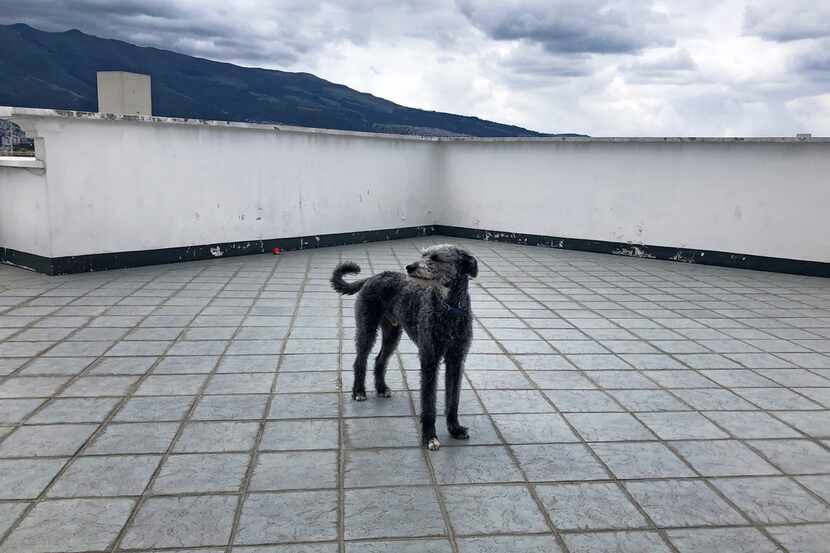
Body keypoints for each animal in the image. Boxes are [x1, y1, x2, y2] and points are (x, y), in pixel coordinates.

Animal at [330, 244, 478, 450]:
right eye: (423, 254)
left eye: (436, 258)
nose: (410, 267)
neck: (449, 309)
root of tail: (372, 277)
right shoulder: (429, 360)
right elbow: (429, 403)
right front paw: (429, 437)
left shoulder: (456, 360)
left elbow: (453, 400)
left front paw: (455, 428)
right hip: (367, 328)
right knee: (360, 360)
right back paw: (358, 391)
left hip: (392, 333)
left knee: (380, 360)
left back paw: (381, 388)